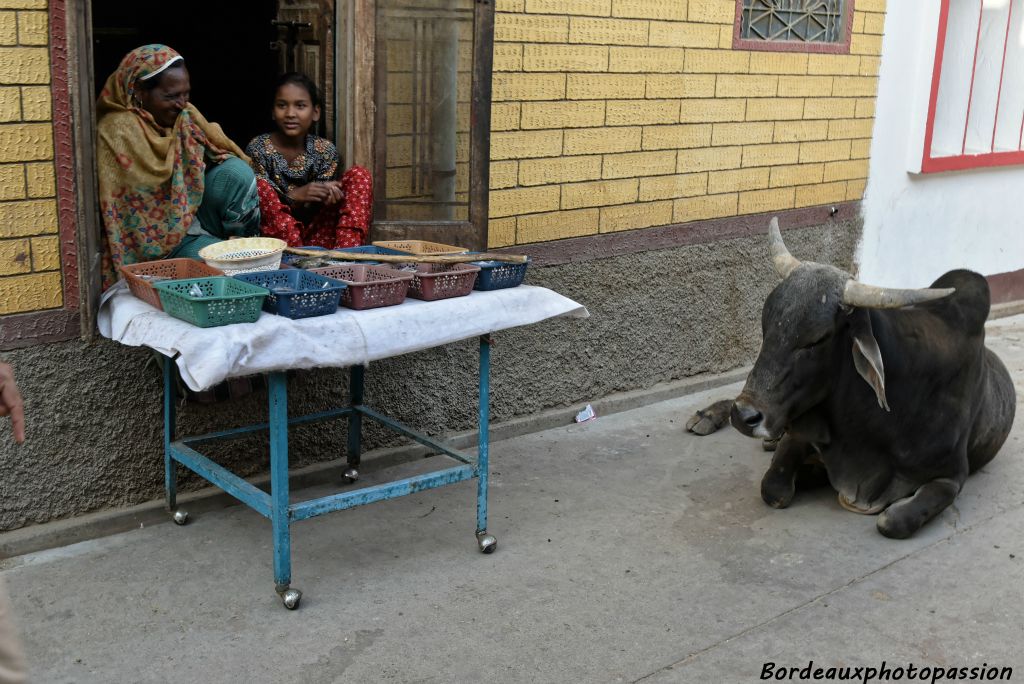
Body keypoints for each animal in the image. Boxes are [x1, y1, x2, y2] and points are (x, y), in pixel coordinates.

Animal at [688, 216, 1015, 536]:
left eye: (816, 339)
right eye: (765, 326)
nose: (744, 416)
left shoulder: (952, 475)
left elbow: (893, 522)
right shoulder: (800, 435)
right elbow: (774, 489)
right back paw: (707, 416)